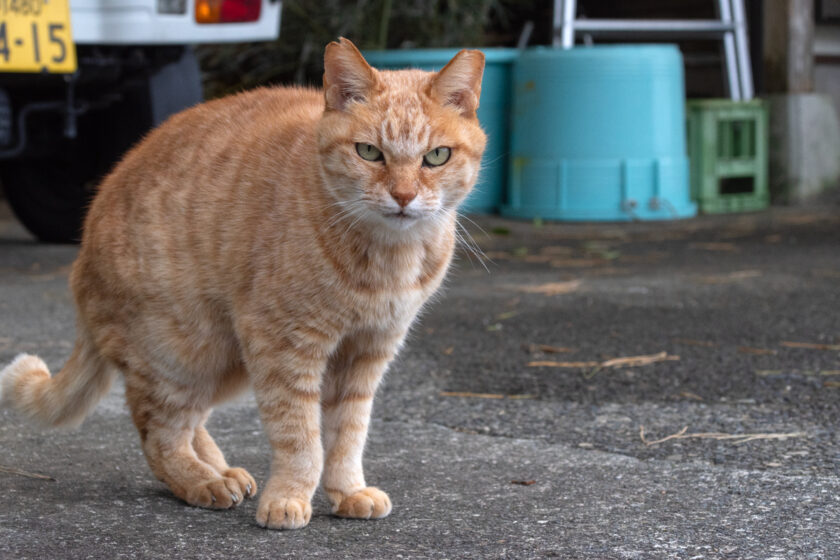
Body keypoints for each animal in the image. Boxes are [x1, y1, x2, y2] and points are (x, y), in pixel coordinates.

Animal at [0, 39, 486, 528]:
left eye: (436, 156)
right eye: (369, 152)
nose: (403, 196)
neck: (387, 259)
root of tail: (80, 259)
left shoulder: (367, 352)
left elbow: (348, 435)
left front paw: (347, 491)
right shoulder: (284, 346)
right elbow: (299, 436)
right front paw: (289, 498)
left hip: (223, 363)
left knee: (189, 422)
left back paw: (221, 469)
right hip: (181, 351)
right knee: (158, 432)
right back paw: (202, 481)